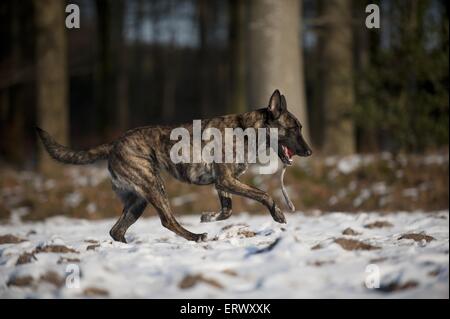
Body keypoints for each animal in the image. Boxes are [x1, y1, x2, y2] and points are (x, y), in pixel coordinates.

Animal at [37, 90, 312, 242]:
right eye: (293, 129)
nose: (309, 152)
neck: (247, 130)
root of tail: (114, 144)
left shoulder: (222, 183)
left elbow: (227, 210)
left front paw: (209, 217)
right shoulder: (226, 181)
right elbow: (263, 194)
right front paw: (278, 214)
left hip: (138, 200)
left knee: (117, 230)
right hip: (154, 186)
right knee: (167, 221)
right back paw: (195, 237)